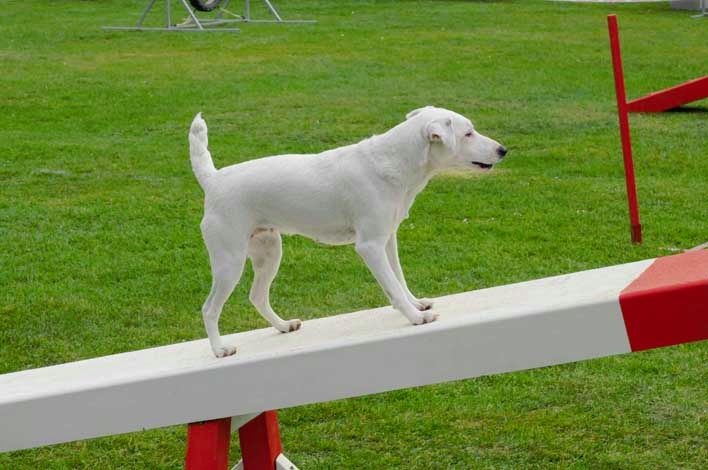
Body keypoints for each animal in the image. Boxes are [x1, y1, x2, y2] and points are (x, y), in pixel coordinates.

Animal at [189, 106, 507, 357]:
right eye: (468, 134)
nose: (504, 150)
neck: (395, 163)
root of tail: (213, 180)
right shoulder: (370, 246)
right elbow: (392, 286)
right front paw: (415, 317)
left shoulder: (388, 240)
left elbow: (399, 279)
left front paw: (416, 304)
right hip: (229, 262)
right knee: (208, 308)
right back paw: (219, 349)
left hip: (269, 253)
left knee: (257, 296)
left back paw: (283, 326)